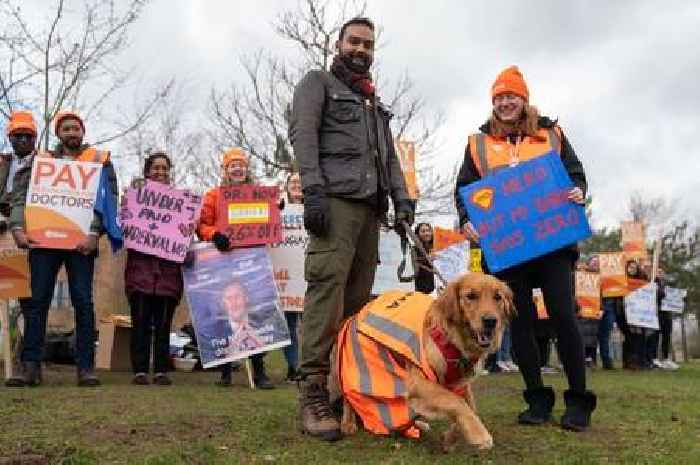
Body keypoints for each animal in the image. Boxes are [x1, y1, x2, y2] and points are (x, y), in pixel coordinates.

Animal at [328, 272, 516, 450]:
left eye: (498, 297)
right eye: (471, 296)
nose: (491, 321)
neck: (451, 338)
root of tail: (354, 314)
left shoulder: (459, 382)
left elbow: (469, 406)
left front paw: (450, 439)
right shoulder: (419, 382)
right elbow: (456, 401)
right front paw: (480, 435)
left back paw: (417, 425)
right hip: (353, 365)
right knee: (348, 396)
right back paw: (348, 423)